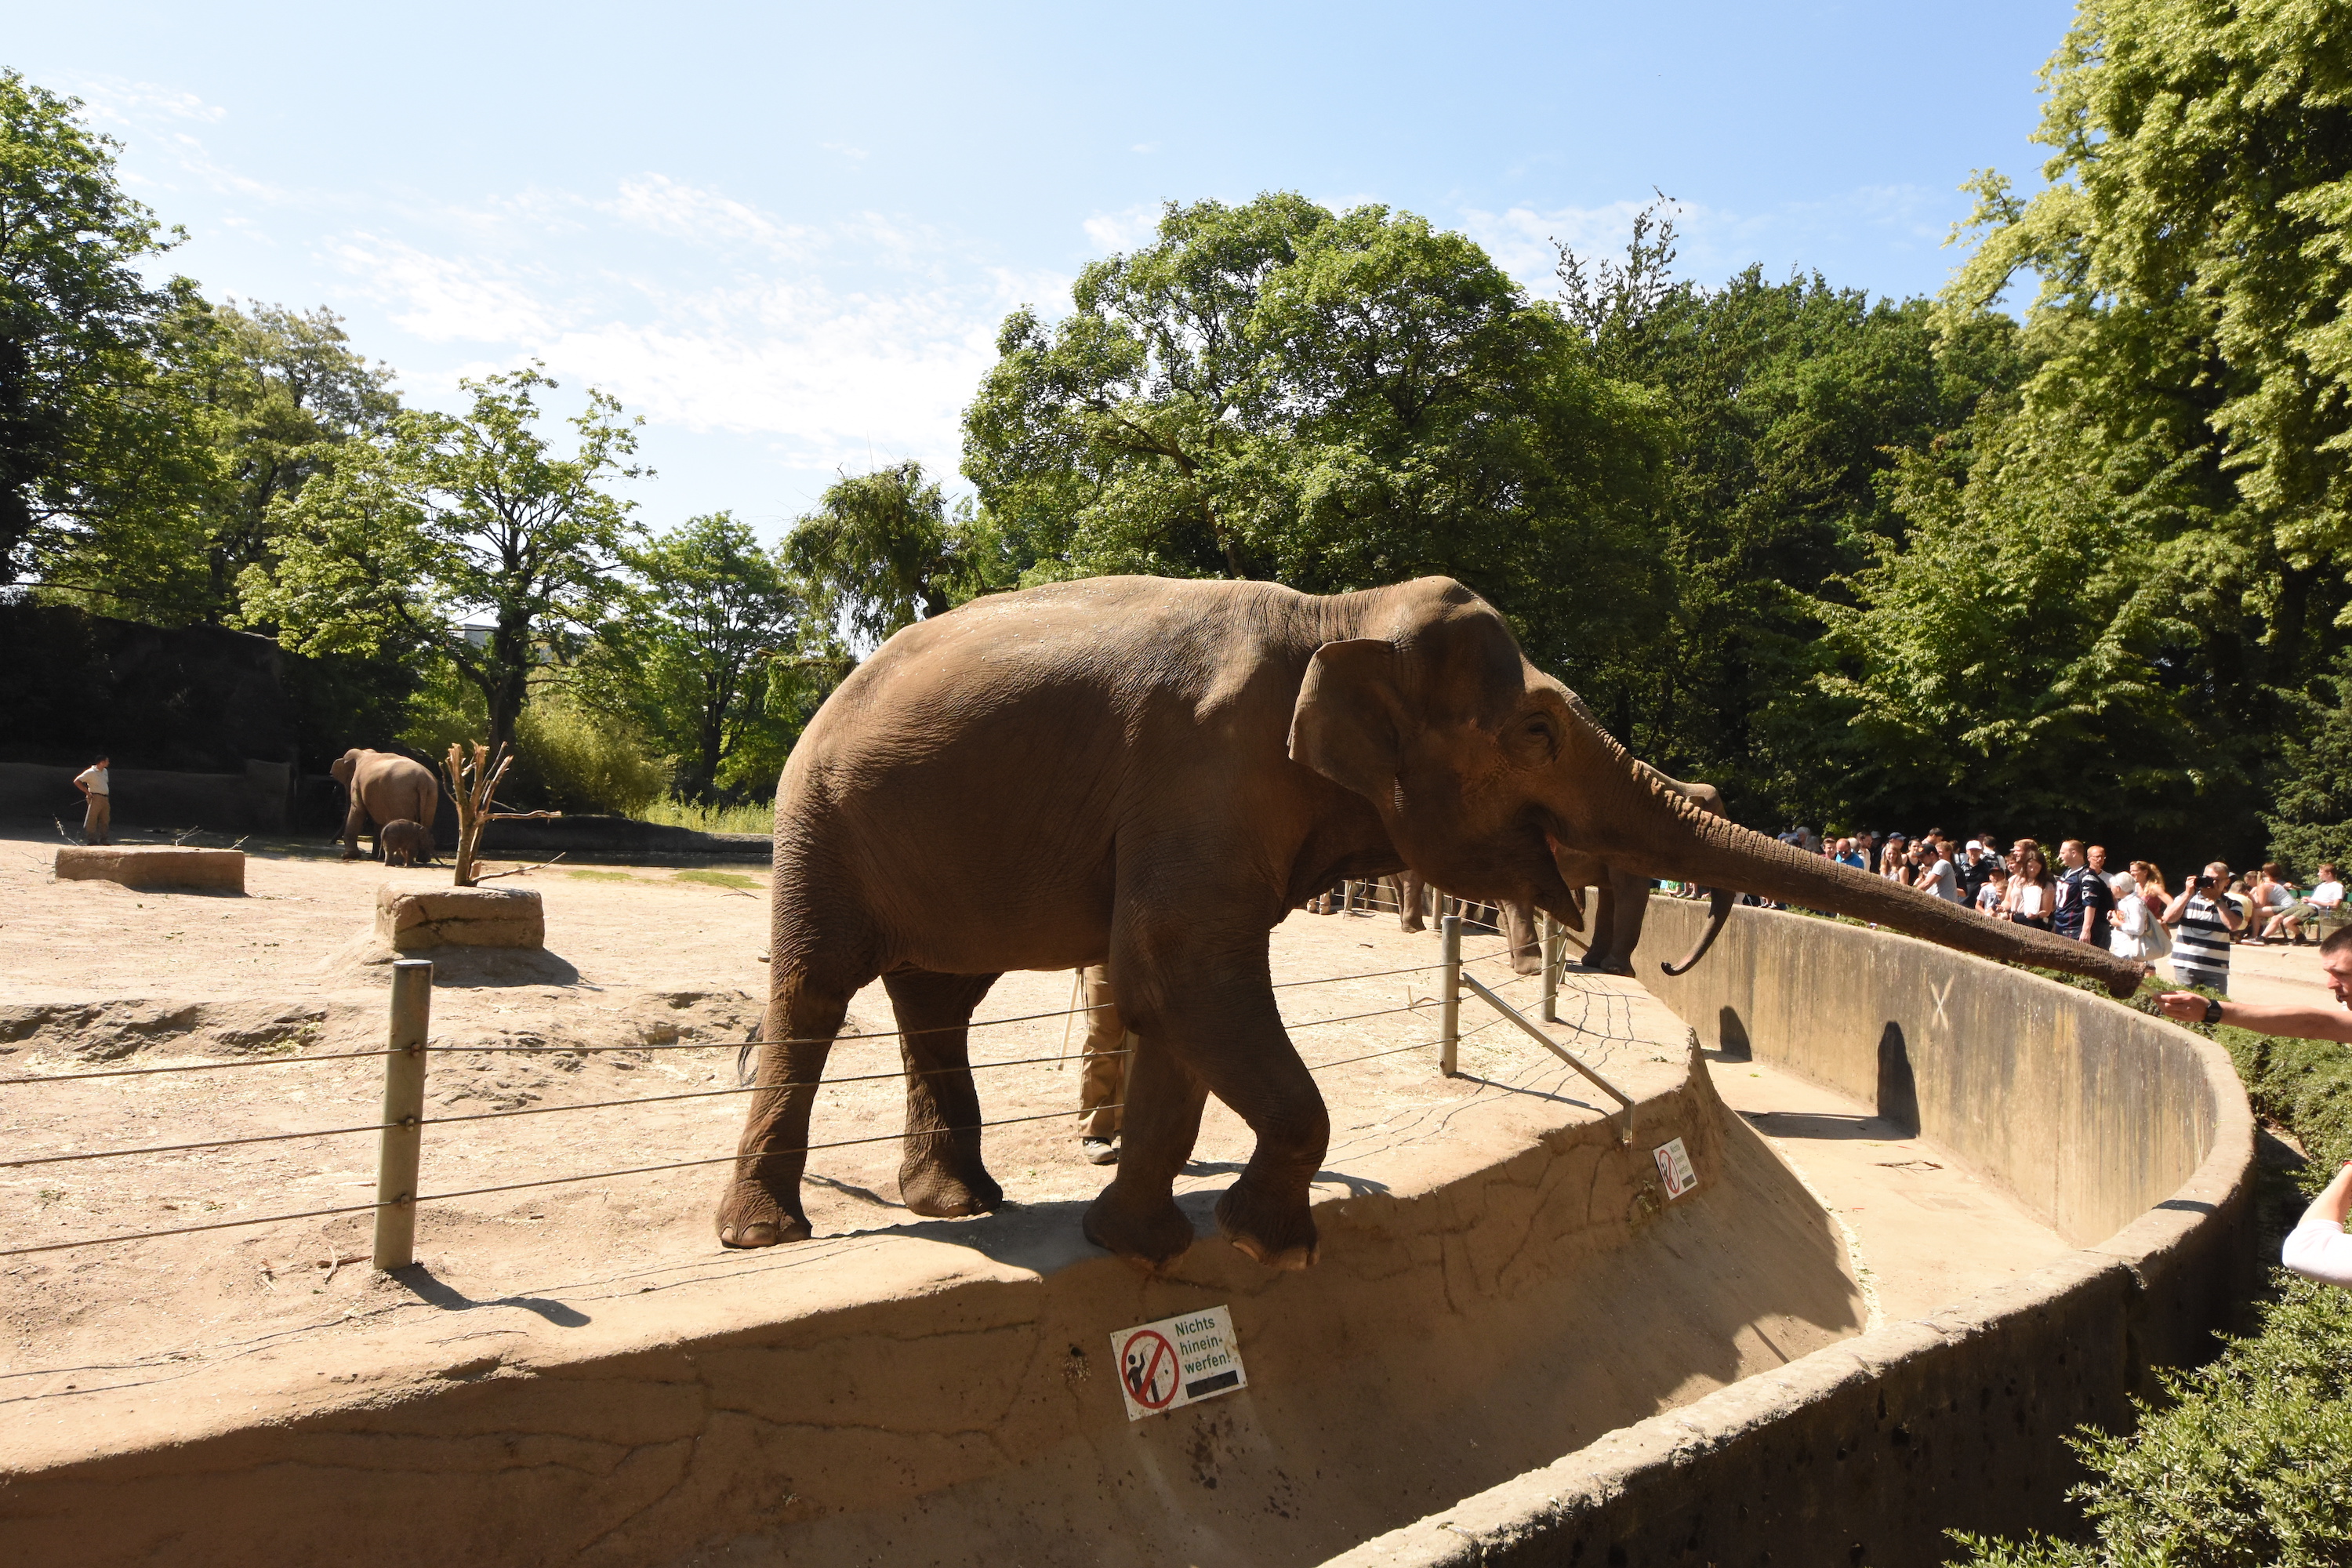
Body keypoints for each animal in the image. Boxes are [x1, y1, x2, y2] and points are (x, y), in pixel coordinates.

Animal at [329, 748, 439, 862]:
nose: (331, 843)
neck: (363, 753)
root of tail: (423, 780)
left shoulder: (357, 783)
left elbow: (358, 809)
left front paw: (348, 856)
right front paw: (375, 857)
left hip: (401, 796)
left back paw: (398, 860)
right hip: (431, 795)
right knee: (426, 823)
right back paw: (423, 860)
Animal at [720, 575, 2146, 1274]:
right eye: (1540, 731)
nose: (2140, 993)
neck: (1334, 618)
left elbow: (1176, 995)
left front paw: (1145, 1245)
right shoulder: (1200, 772)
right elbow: (1182, 973)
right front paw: (1268, 1242)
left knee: (937, 999)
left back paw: (964, 1202)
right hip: (819, 822)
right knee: (819, 989)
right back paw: (768, 1234)